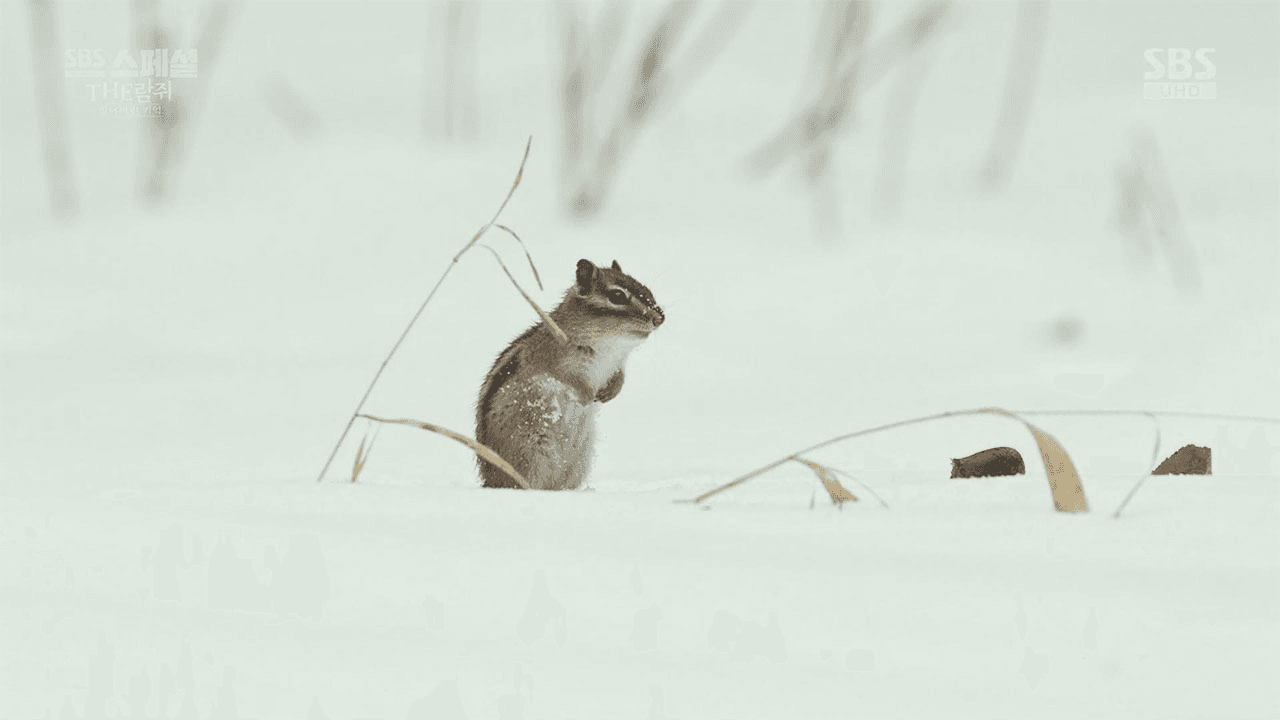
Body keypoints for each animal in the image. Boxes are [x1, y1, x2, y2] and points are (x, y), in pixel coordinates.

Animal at [475, 259, 664, 490]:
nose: (661, 317)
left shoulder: (618, 364)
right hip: (530, 452)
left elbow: (620, 376)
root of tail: (490, 481)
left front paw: (611, 391)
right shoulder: (557, 362)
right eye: (617, 296)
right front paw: (588, 396)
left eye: (647, 289)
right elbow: (572, 381)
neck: (610, 347)